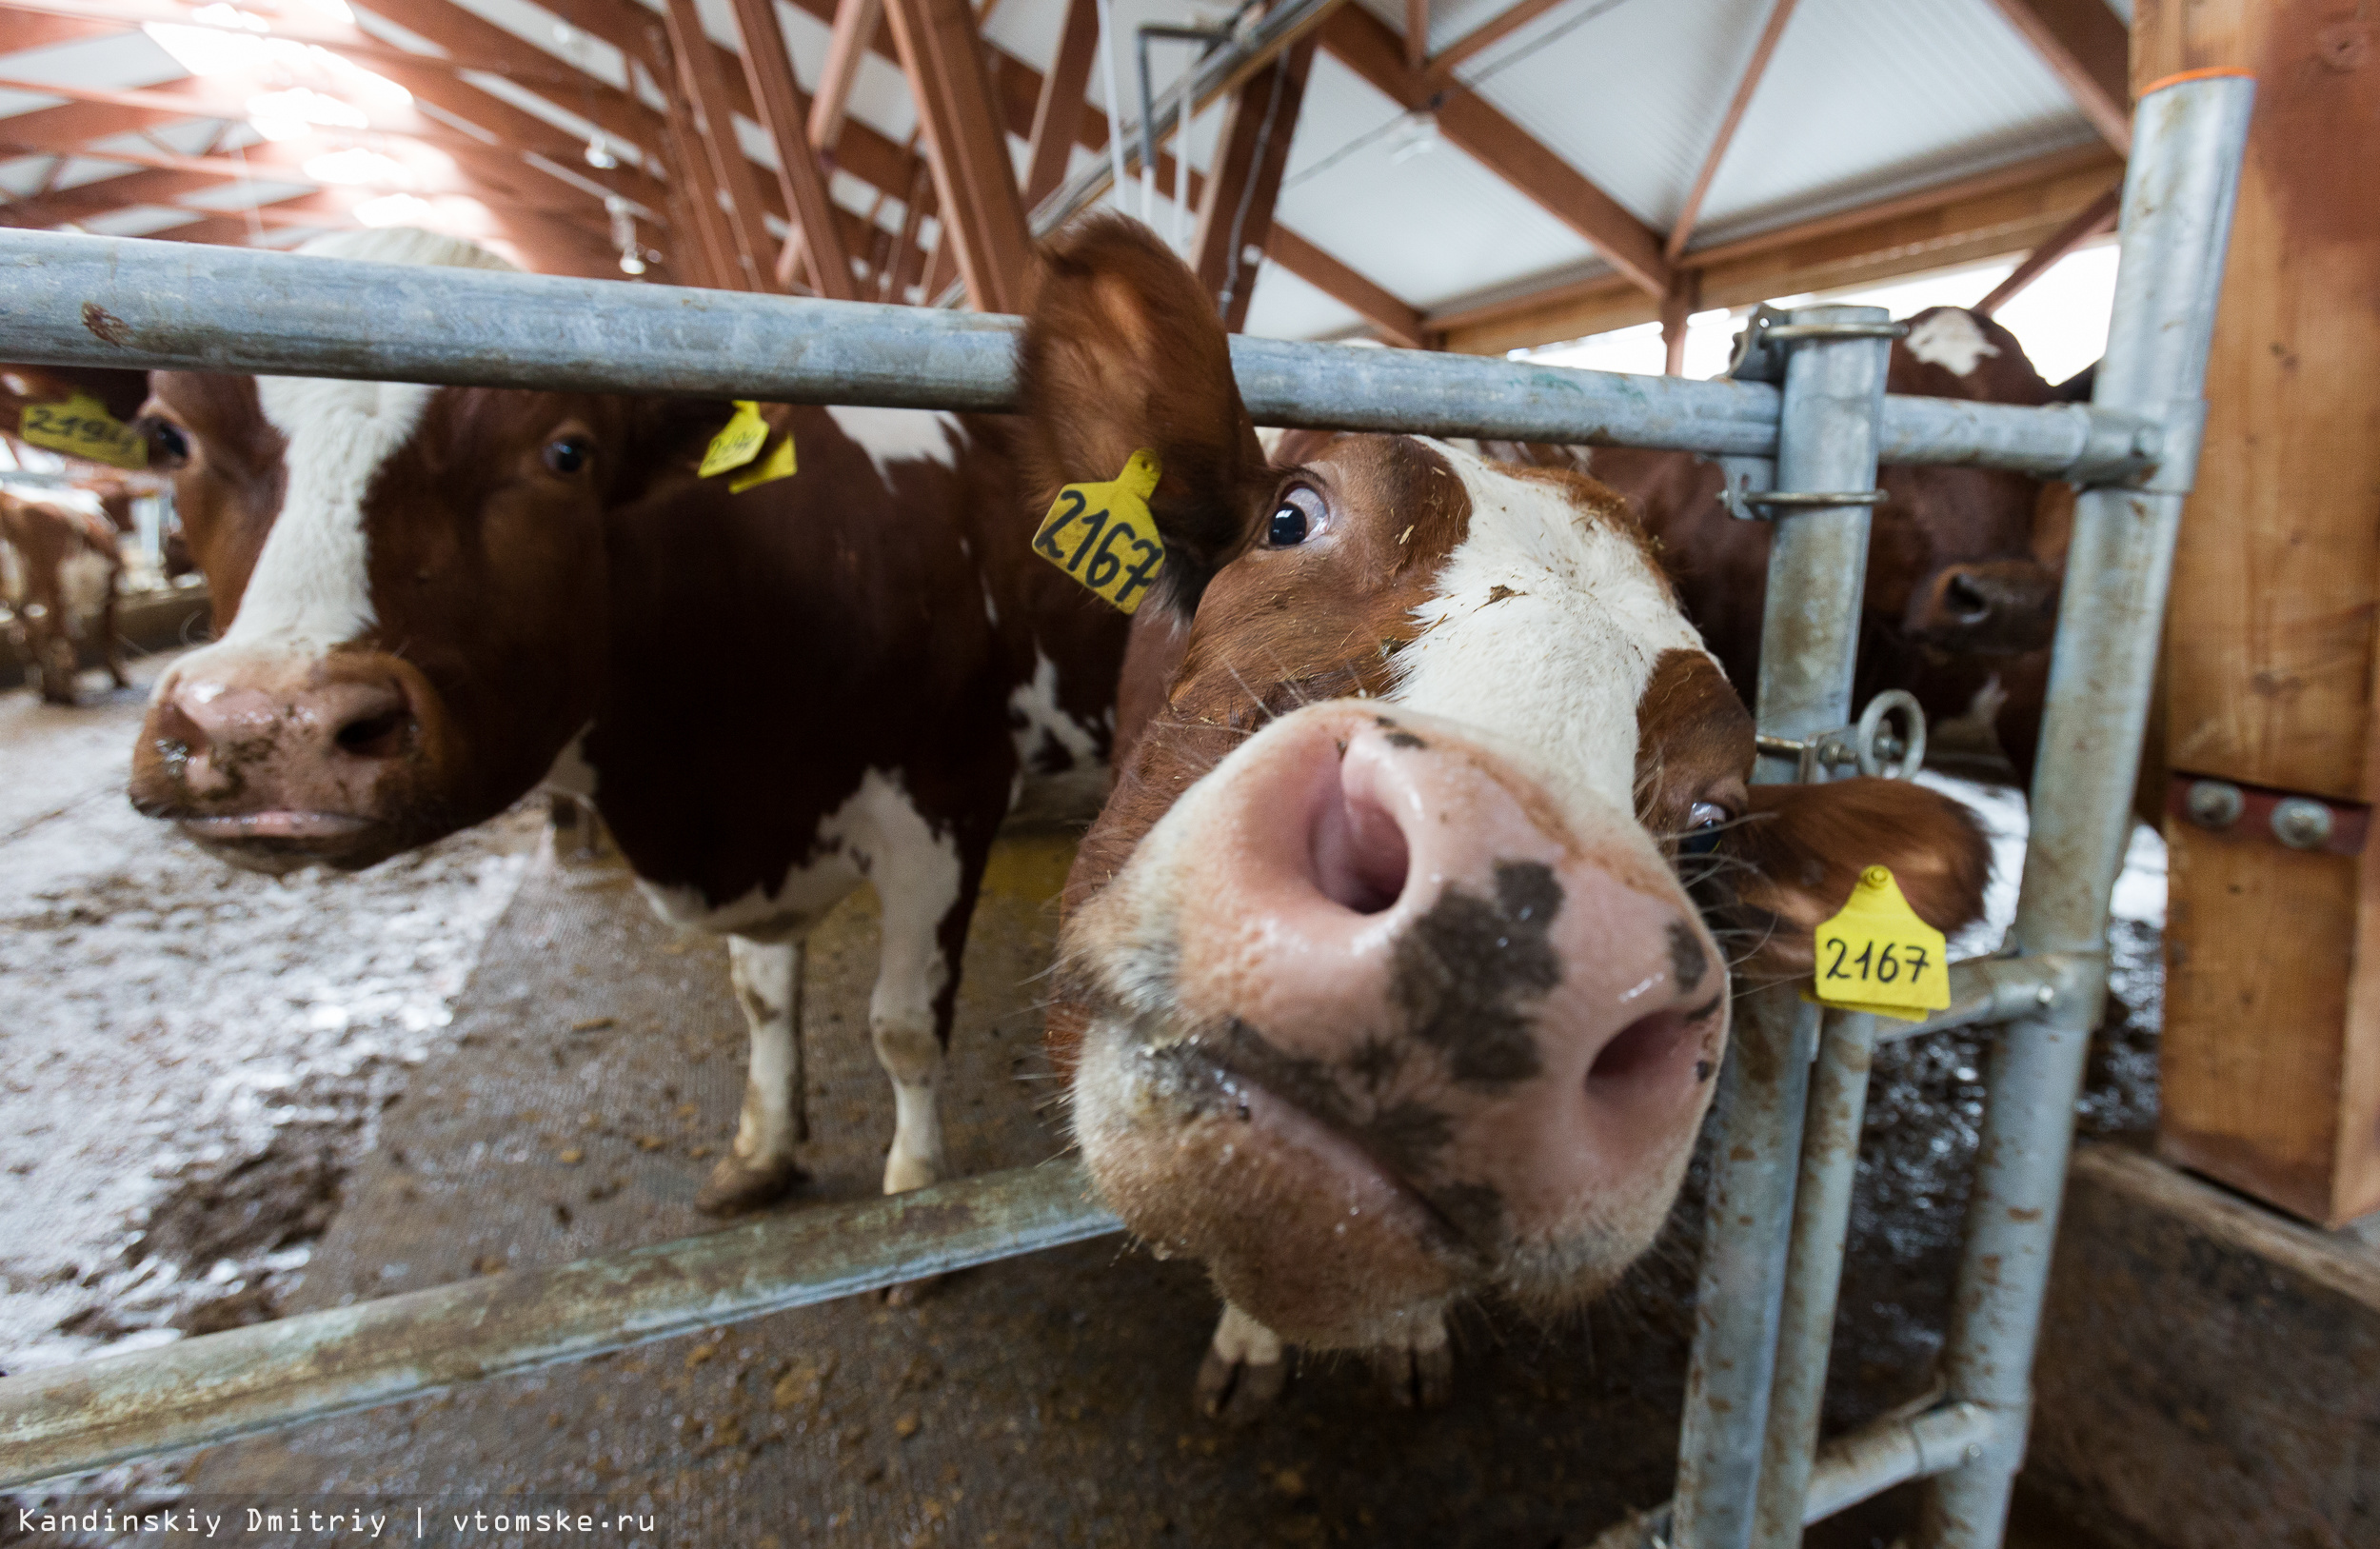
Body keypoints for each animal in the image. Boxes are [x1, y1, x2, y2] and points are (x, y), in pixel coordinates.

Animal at [0, 489, 127, 704]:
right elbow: (106, 631)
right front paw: (118, 677)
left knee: (34, 635)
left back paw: (51, 689)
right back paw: (66, 691)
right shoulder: (111, 590)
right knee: (57, 636)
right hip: (55, 588)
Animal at [125, 227, 1128, 1227]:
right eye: (166, 437)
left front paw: (918, 1190)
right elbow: (761, 999)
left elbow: (904, 1027)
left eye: (567, 452)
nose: (270, 723)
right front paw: (760, 1152)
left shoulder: (949, 796)